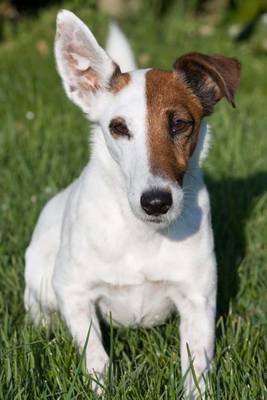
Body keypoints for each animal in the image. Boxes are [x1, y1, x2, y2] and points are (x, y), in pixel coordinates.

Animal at [24, 10, 241, 400]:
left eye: (180, 124)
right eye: (118, 128)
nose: (156, 202)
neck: (142, 235)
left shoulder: (198, 299)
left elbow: (197, 364)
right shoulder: (74, 292)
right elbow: (96, 355)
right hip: (40, 278)